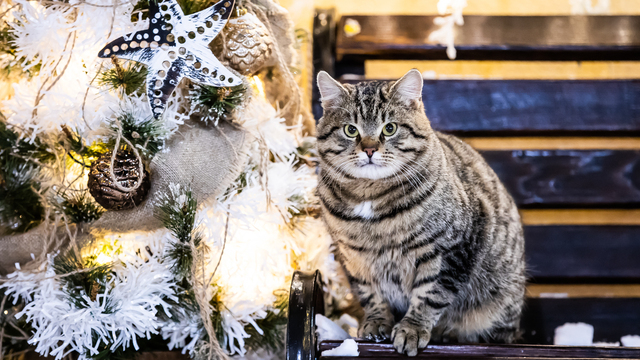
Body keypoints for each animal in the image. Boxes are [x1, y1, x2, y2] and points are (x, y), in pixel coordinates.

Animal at [316, 69, 524, 356]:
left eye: (389, 128)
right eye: (350, 130)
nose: (369, 149)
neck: (368, 196)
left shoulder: (449, 249)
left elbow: (430, 294)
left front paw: (411, 329)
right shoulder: (354, 257)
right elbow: (371, 293)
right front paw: (376, 323)